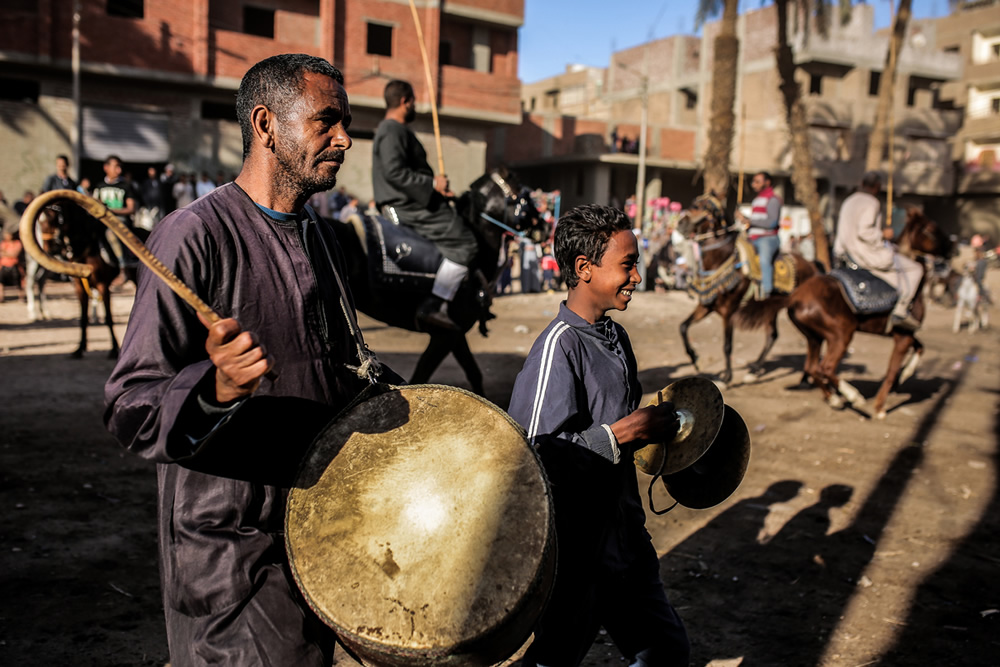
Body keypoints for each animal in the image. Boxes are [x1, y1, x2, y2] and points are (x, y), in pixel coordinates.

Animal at [332, 168, 540, 396]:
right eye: (525, 196)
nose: (545, 228)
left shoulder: (455, 333)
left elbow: (474, 373)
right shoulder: (443, 335)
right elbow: (420, 376)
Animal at [680, 193, 820, 386]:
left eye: (702, 207)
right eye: (694, 204)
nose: (680, 223)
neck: (720, 260)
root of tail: (812, 266)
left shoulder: (729, 311)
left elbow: (727, 345)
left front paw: (726, 377)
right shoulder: (706, 306)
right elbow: (683, 327)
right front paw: (695, 359)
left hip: (796, 311)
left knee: (812, 340)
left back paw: (806, 377)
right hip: (772, 309)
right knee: (774, 335)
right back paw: (755, 371)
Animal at [788, 207, 952, 418]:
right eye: (931, 229)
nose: (951, 247)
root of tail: (795, 297)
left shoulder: (904, 333)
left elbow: (920, 347)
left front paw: (904, 375)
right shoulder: (903, 336)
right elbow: (892, 370)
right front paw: (880, 407)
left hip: (814, 337)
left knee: (812, 367)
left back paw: (834, 399)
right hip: (840, 335)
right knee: (826, 367)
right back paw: (854, 397)